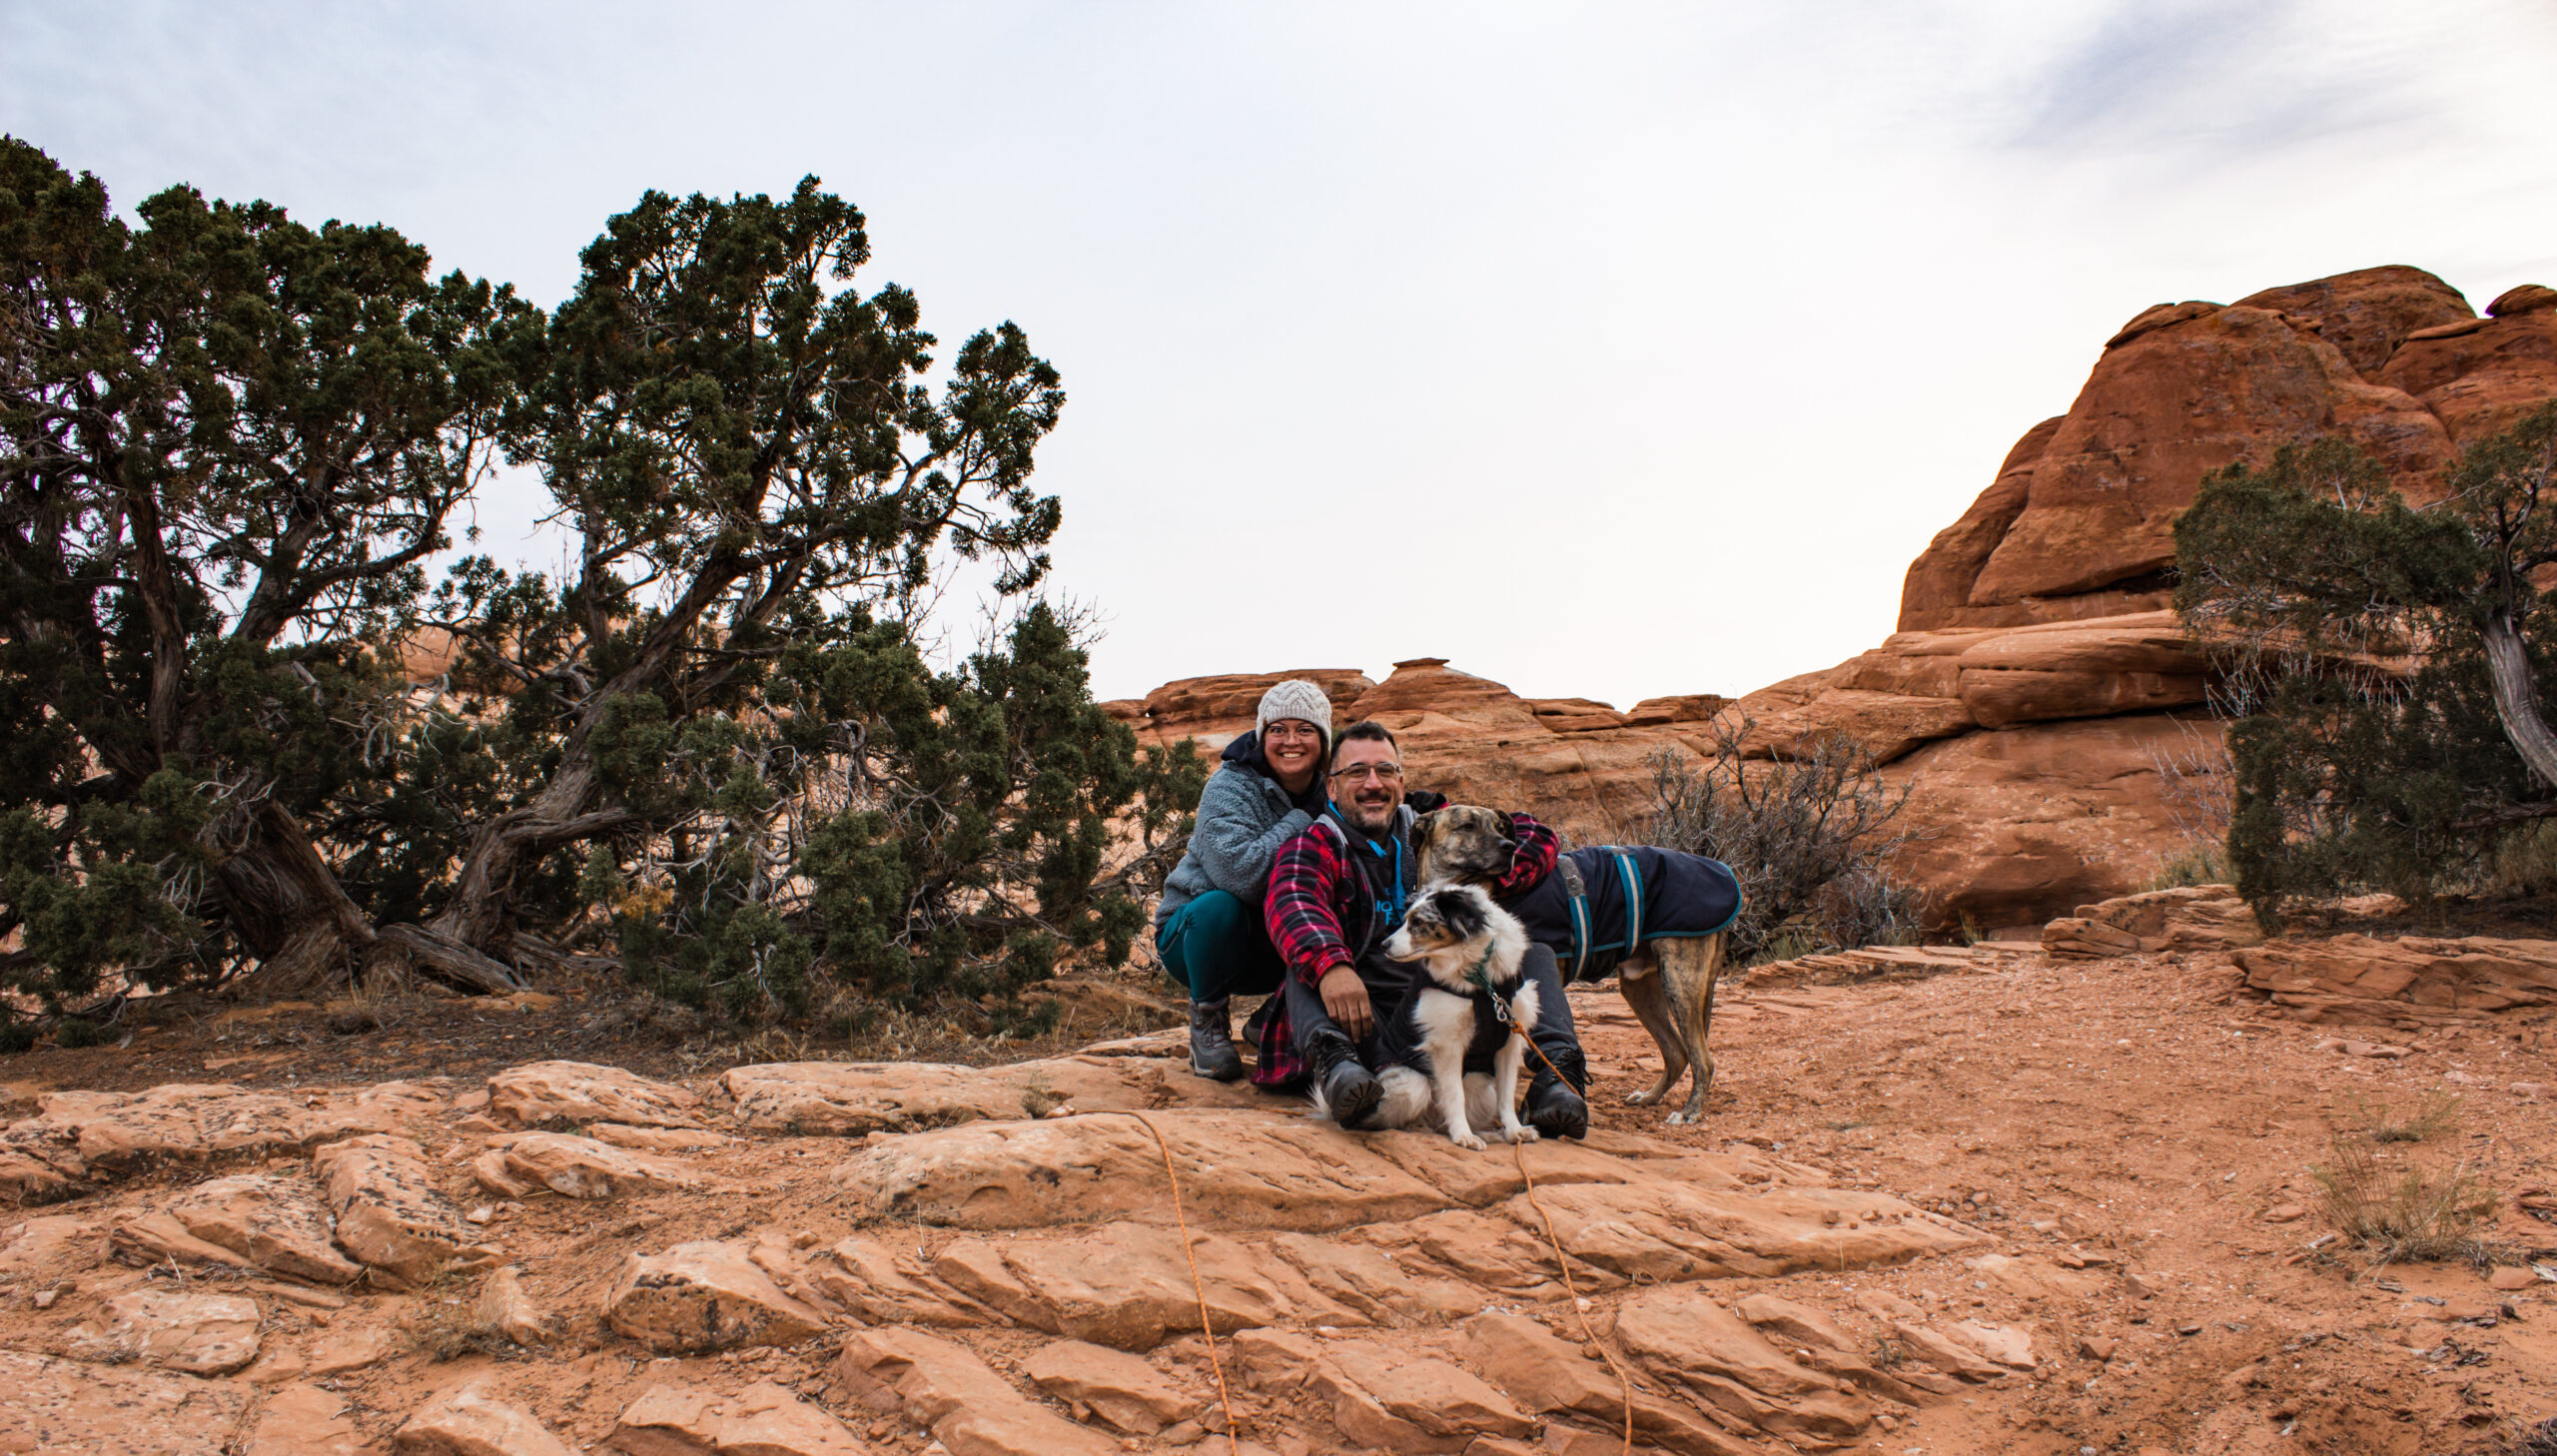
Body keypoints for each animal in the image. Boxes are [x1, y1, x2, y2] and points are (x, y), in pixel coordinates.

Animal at [1411, 807, 1728, 1123]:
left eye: (1502, 828)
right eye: (1467, 826)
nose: (1509, 847)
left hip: (1678, 979)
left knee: (1703, 1059)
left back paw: (1689, 1112)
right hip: (1640, 988)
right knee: (1677, 1053)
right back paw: (1650, 1097)